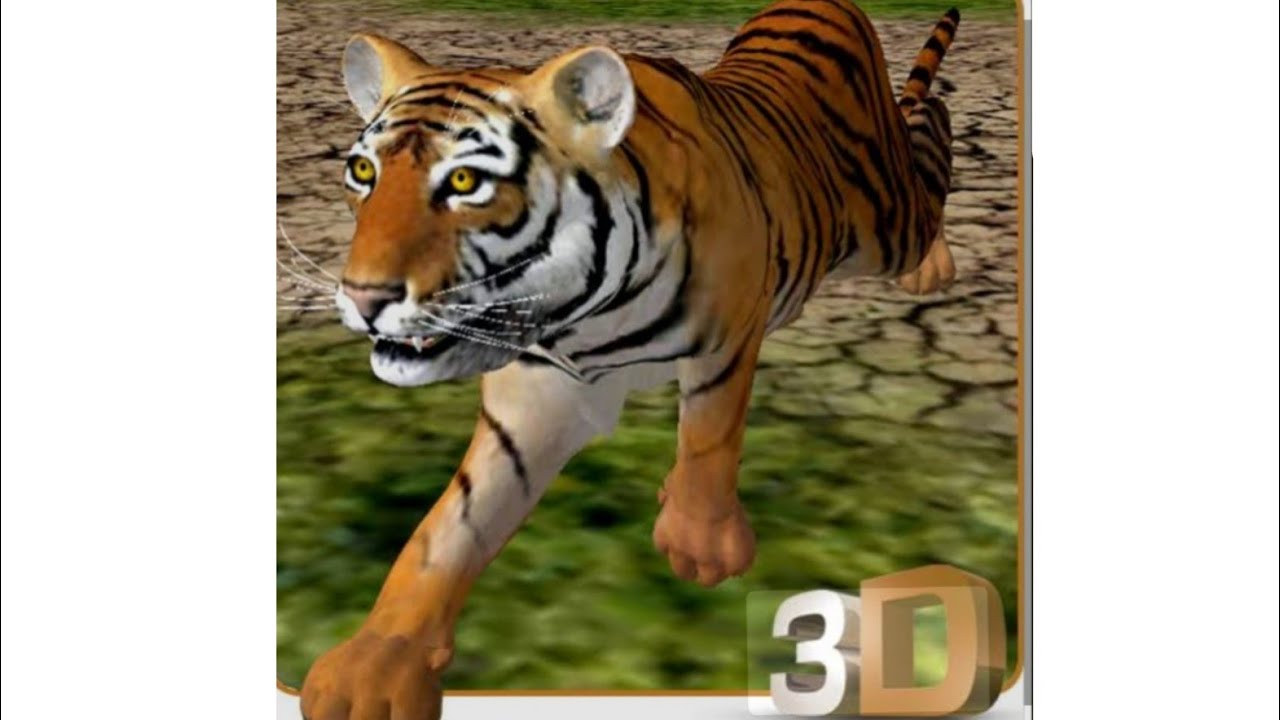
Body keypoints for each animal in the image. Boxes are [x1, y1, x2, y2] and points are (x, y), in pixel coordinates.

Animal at [300, 2, 960, 717]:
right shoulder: (532, 396)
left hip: (887, 225)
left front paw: (699, 545)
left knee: (931, 140)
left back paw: (933, 264)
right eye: (363, 173)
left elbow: (708, 439)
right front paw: (372, 666)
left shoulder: (725, 341)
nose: (363, 297)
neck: (581, 320)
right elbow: (448, 529)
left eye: (465, 181)